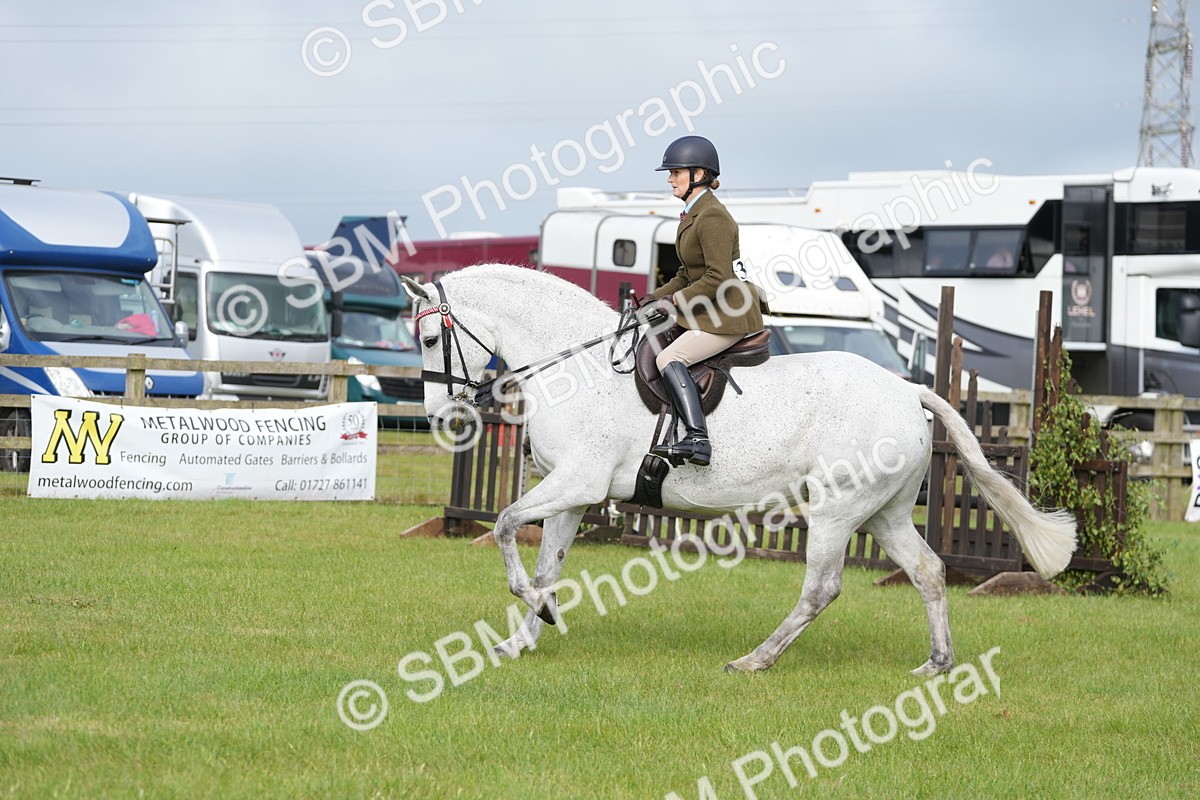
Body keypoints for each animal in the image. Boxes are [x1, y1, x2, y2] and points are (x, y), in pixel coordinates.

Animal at [402, 264, 1077, 676]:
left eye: (431, 341)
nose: (440, 414)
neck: (576, 368)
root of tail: (908, 388)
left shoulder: (577, 482)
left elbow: (505, 525)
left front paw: (533, 610)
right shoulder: (571, 493)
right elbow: (547, 563)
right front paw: (527, 632)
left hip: (836, 509)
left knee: (821, 588)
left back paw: (755, 660)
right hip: (882, 513)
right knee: (930, 573)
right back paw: (936, 665)